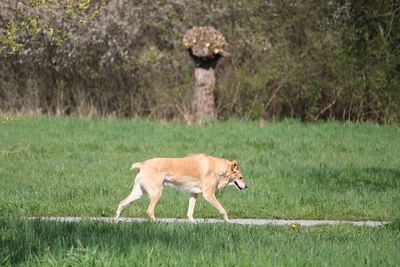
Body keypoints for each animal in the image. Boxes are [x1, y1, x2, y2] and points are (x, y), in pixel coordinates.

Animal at [114, 154, 247, 223]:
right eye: (241, 177)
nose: (246, 186)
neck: (218, 169)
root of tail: (142, 164)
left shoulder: (193, 194)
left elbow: (190, 212)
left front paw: (193, 223)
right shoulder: (209, 194)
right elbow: (222, 210)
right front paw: (228, 222)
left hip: (139, 193)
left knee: (122, 203)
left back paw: (115, 219)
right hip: (156, 193)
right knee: (149, 211)